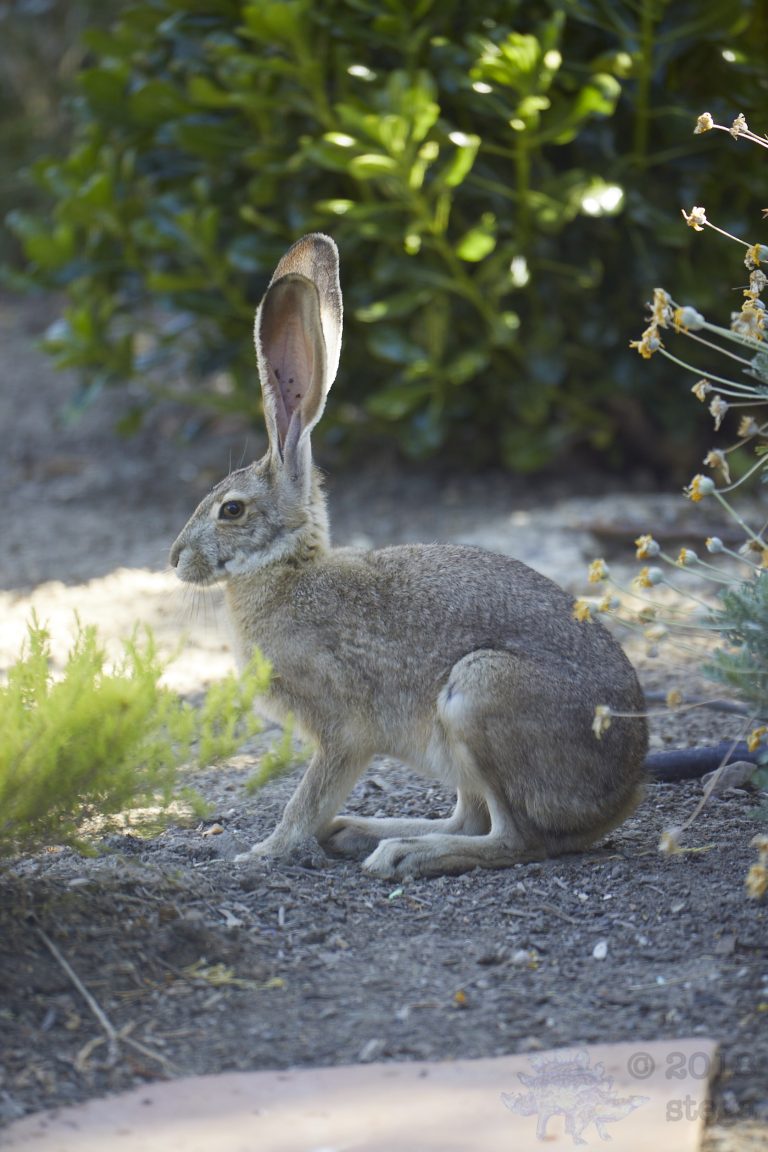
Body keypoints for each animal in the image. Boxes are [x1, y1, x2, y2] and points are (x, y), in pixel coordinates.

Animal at [170, 232, 648, 879]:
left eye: (232, 511)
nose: (176, 559)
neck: (287, 569)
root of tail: (623, 791)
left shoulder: (342, 729)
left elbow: (307, 797)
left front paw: (262, 853)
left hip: (480, 695)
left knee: (516, 839)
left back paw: (404, 853)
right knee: (471, 818)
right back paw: (362, 834)